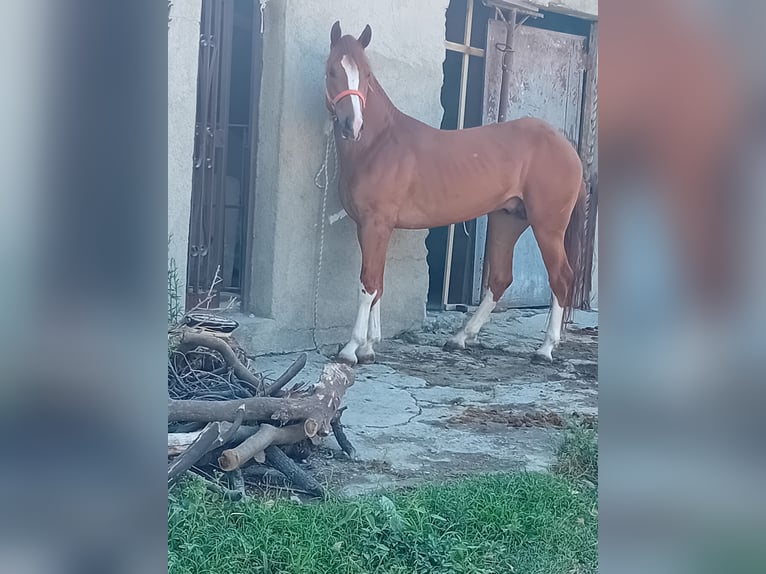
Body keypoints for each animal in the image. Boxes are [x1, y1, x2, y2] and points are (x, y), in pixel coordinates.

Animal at [328, 22, 584, 366]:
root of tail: (566, 146)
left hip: (548, 226)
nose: (351, 125)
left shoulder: (374, 224)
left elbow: (368, 284)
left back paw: (545, 349)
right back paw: (461, 337)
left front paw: (352, 348)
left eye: (367, 74)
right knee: (500, 279)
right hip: (508, 219)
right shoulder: (373, 228)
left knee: (561, 277)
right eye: (332, 71)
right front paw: (370, 346)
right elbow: (378, 283)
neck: (378, 145)